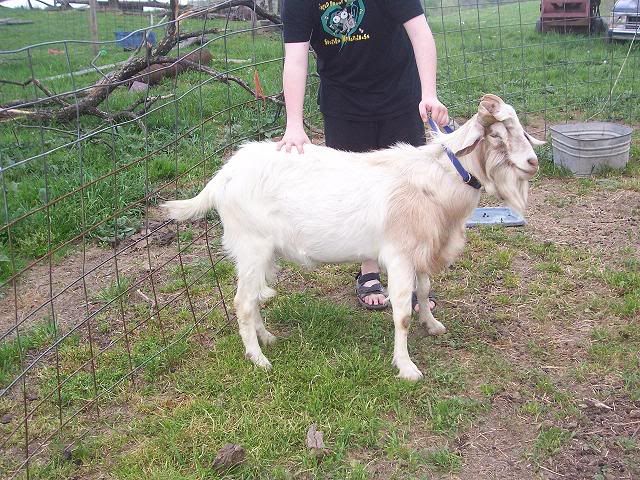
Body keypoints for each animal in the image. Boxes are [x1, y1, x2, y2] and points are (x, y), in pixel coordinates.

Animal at [162, 94, 544, 380]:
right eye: (496, 135)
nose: (532, 162)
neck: (437, 179)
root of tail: (223, 176)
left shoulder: (420, 250)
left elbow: (423, 291)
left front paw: (433, 324)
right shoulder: (400, 255)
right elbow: (401, 312)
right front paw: (407, 367)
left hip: (261, 253)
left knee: (253, 297)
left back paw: (267, 338)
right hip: (251, 246)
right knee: (242, 302)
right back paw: (259, 359)